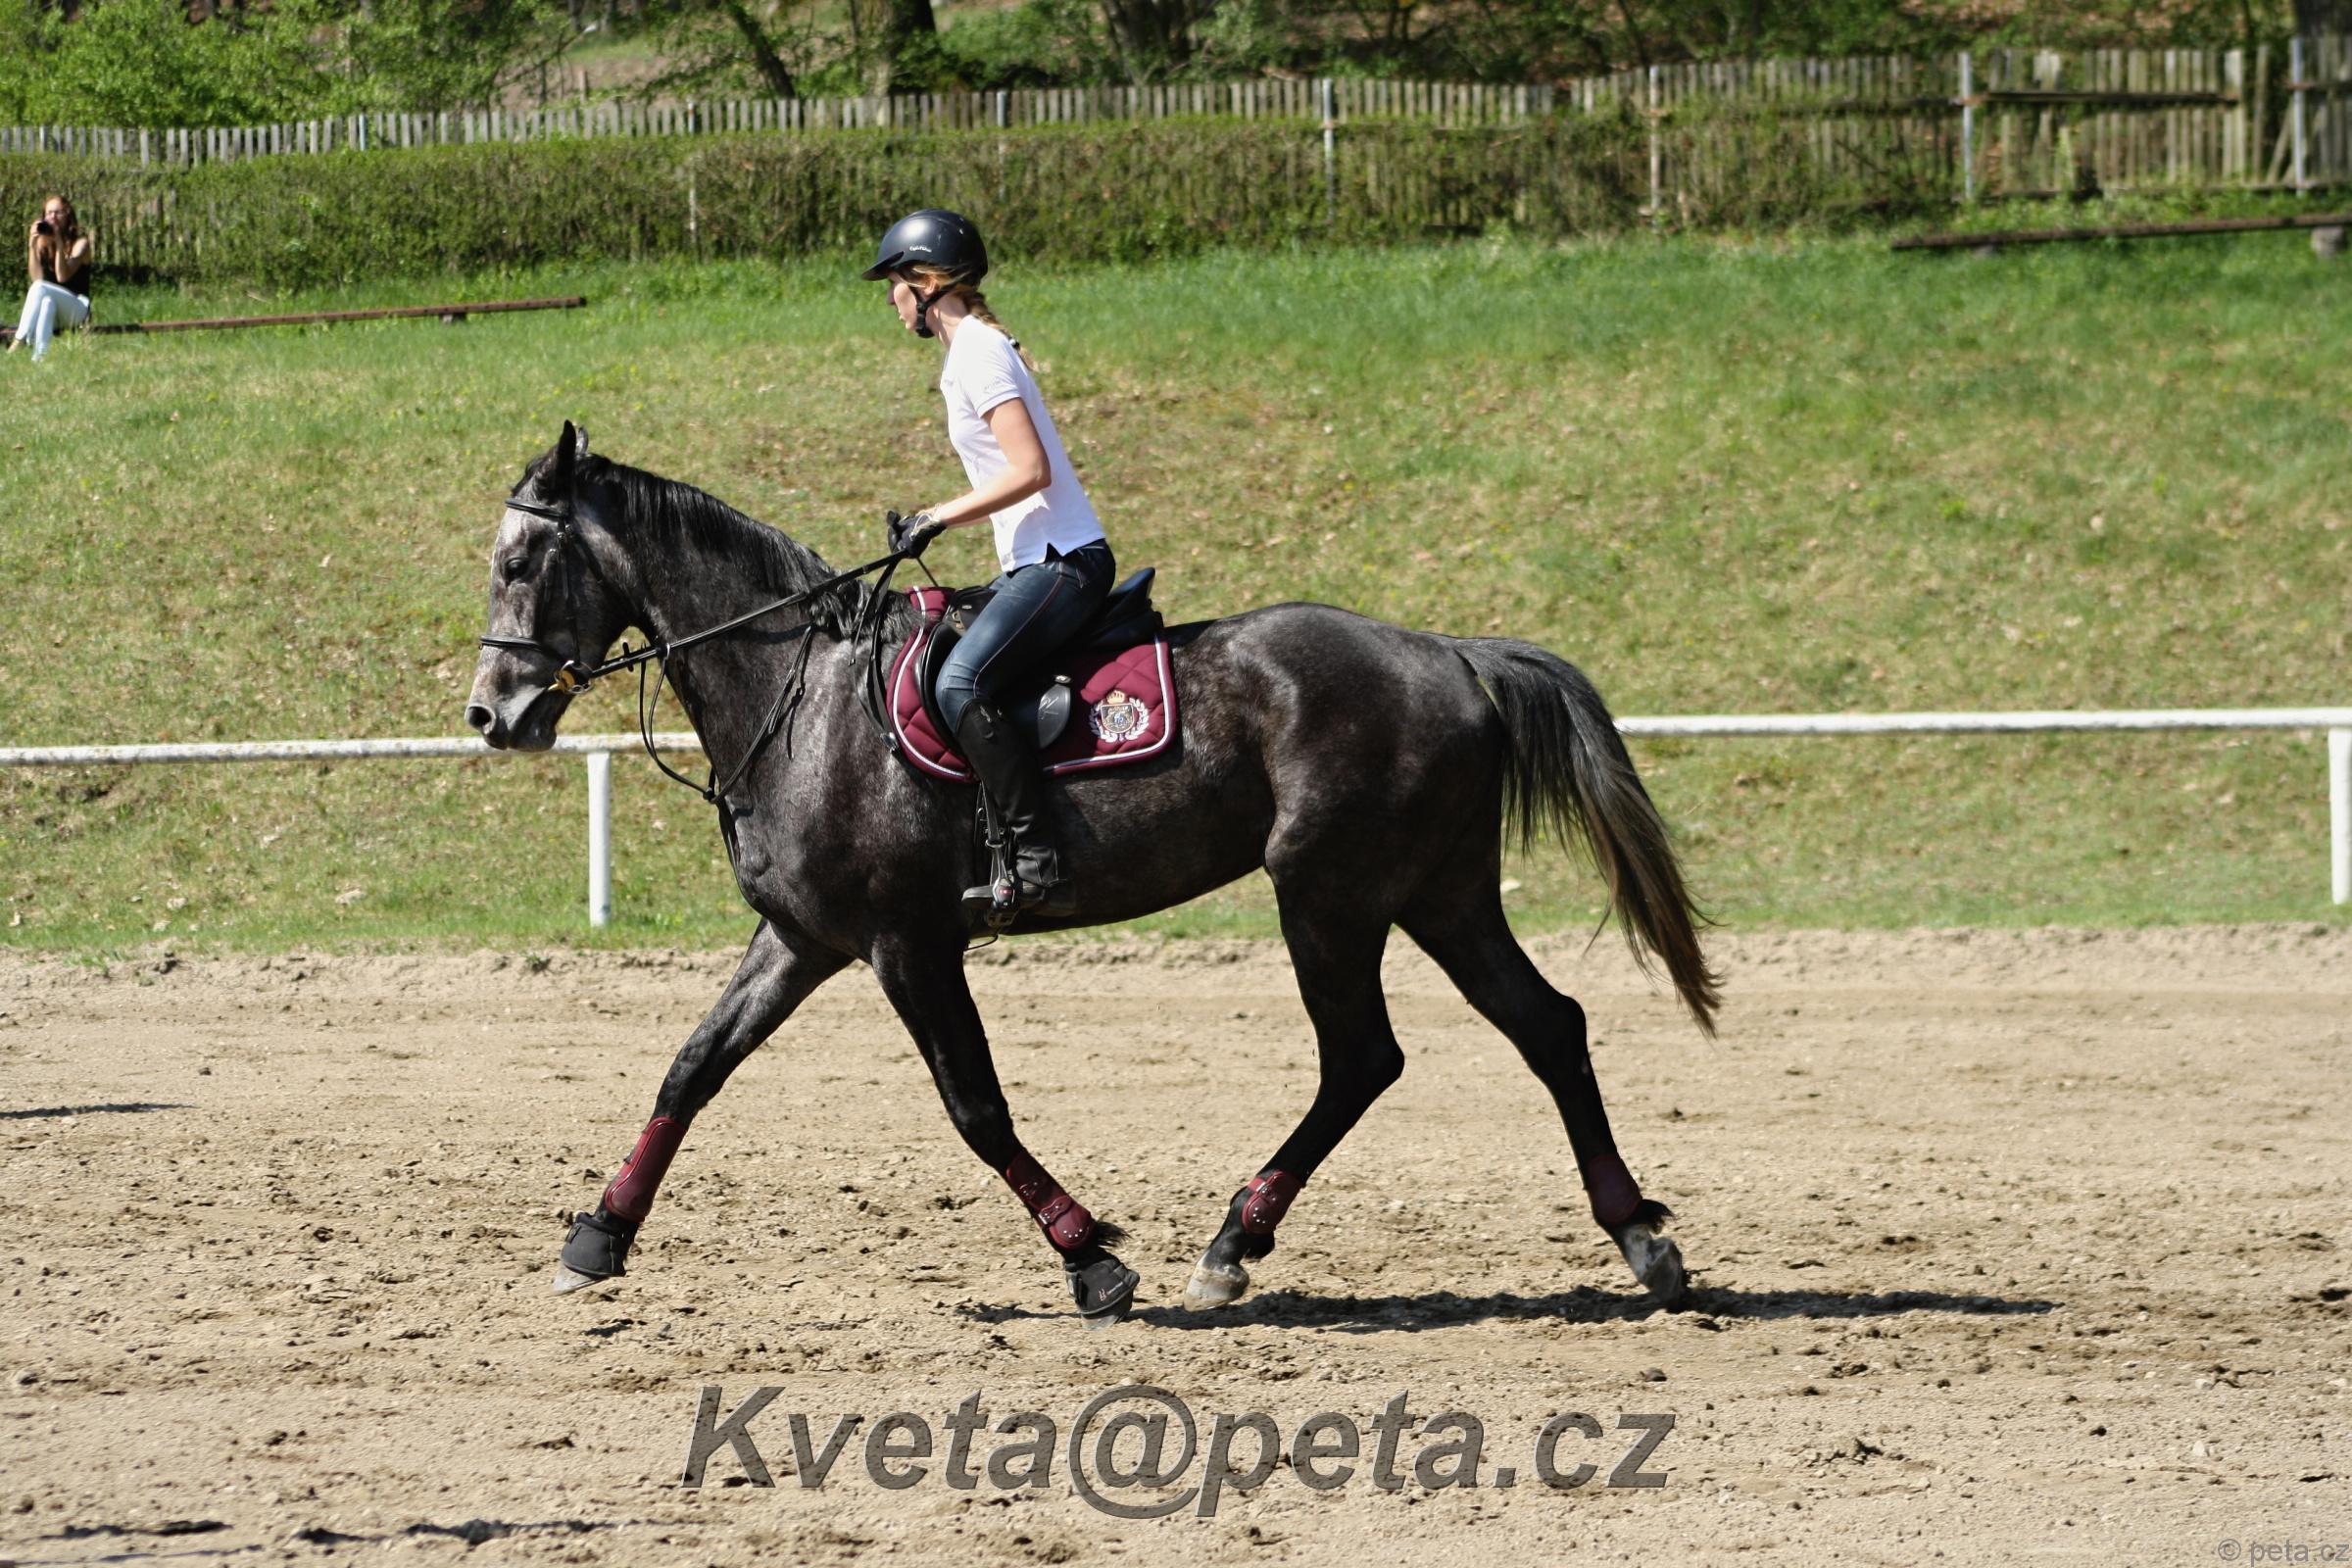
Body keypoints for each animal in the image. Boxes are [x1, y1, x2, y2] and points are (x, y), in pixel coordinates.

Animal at [466, 422, 1721, 1328]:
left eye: (519, 560)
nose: (491, 716)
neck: (803, 696)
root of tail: (1450, 654)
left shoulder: (907, 943)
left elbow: (975, 1106)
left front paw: (1092, 1263)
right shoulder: (805, 938)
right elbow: (691, 1069)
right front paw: (597, 1238)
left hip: (1329, 894)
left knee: (1366, 1056)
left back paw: (1233, 1245)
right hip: (1438, 892)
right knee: (1545, 1025)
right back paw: (1641, 1239)